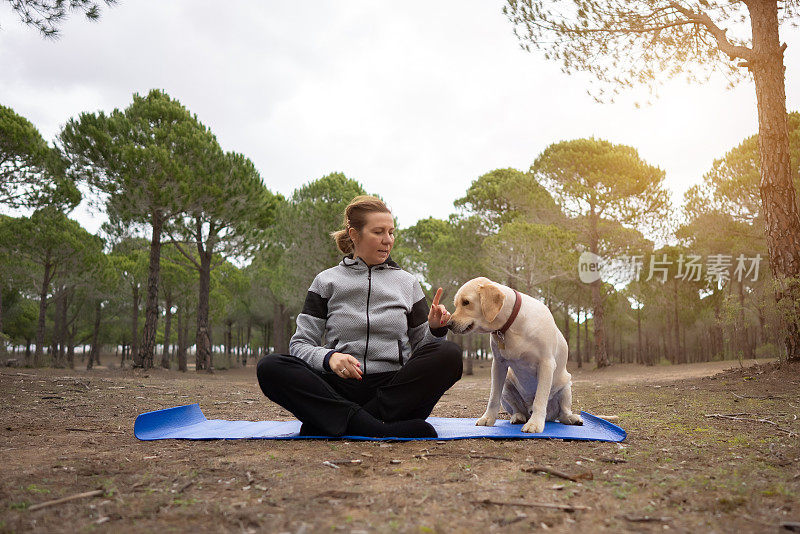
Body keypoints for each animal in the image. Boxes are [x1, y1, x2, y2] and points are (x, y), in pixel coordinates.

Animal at [444, 278, 580, 434]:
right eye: (456, 304)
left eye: (466, 302)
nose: (448, 324)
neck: (510, 324)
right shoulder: (498, 364)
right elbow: (493, 398)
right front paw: (488, 418)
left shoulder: (546, 363)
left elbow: (540, 398)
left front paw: (535, 424)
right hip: (507, 386)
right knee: (516, 409)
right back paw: (518, 416)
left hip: (566, 386)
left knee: (563, 412)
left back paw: (571, 418)